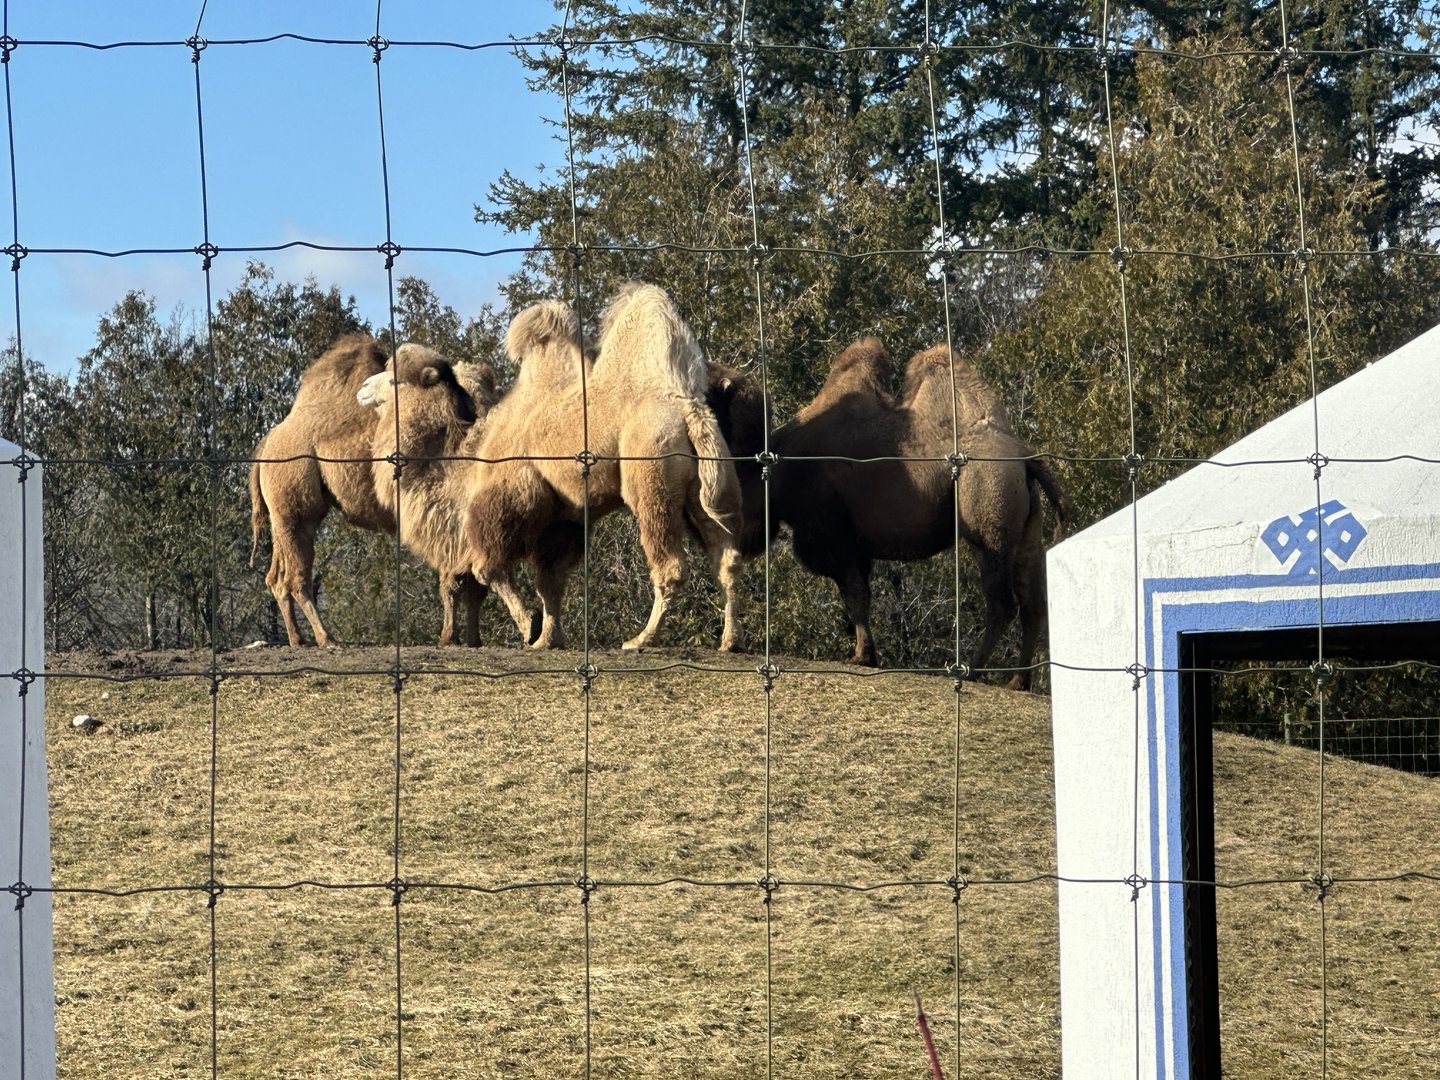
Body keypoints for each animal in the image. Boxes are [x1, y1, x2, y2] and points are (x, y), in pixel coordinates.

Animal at [249, 334, 397, 647]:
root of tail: (268, 441)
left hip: (285, 515)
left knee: (277, 576)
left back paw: (298, 638)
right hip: (293, 503)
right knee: (295, 577)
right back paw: (326, 638)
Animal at [355, 345, 539, 647]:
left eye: (394, 381)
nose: (363, 387)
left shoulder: (467, 525)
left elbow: (478, 576)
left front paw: (528, 625)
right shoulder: (457, 535)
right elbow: (465, 587)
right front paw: (468, 638)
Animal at [465, 284, 744, 652]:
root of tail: (690, 411)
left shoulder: (516, 491)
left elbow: (489, 566)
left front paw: (530, 629)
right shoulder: (563, 517)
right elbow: (549, 581)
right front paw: (548, 639)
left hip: (650, 473)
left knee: (670, 565)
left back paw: (640, 639)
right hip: (704, 483)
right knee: (726, 558)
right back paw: (730, 640)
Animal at [752, 337, 1067, 687]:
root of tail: (1026, 456)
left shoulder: (830, 531)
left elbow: (855, 593)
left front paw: (862, 656)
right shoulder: (854, 543)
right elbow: (860, 593)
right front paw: (867, 654)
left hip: (988, 507)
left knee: (1002, 601)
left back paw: (972, 670)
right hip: (1027, 525)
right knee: (1034, 604)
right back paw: (1018, 681)